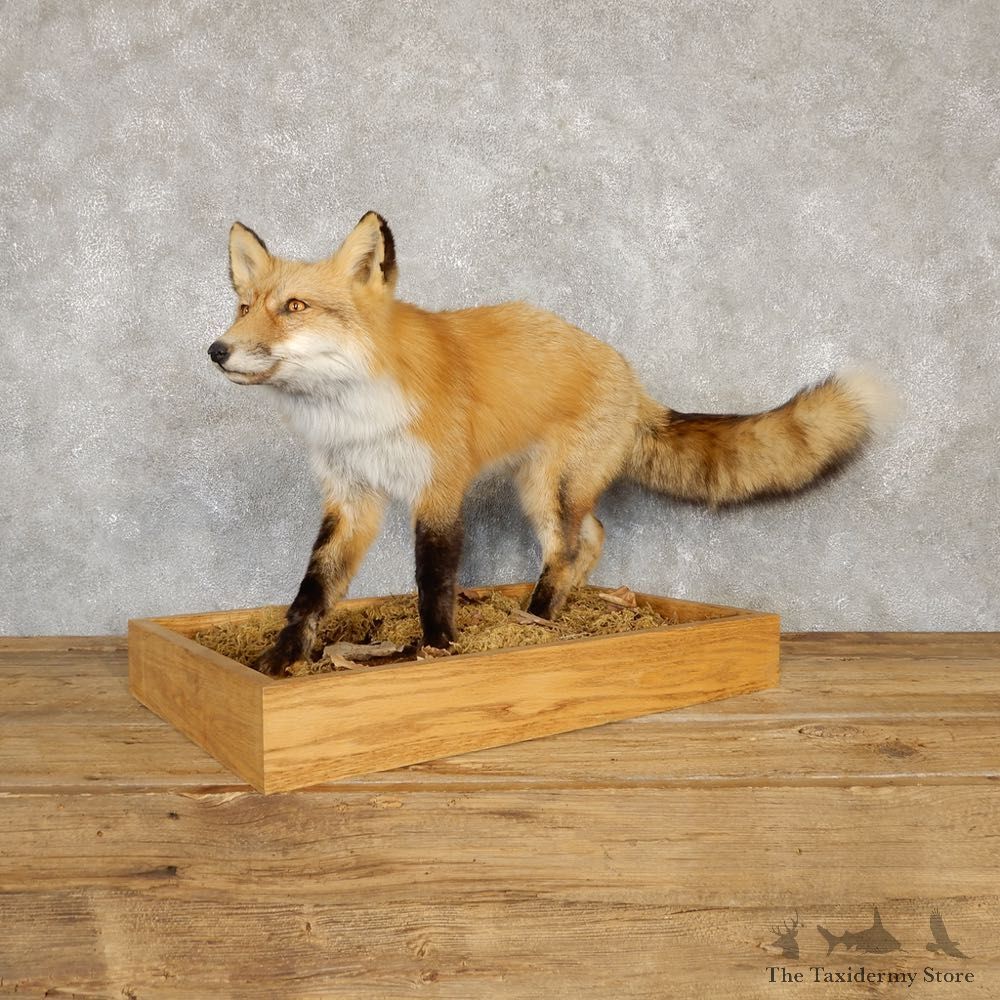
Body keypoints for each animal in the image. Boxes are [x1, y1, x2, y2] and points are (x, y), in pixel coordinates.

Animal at [209, 211, 895, 676]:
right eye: (244, 307)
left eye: (294, 307)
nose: (216, 350)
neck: (354, 412)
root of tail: (632, 380)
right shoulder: (351, 498)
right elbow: (313, 591)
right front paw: (278, 664)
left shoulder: (440, 490)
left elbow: (433, 581)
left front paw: (436, 651)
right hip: (543, 488)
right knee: (588, 540)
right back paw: (553, 616)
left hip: (547, 486)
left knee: (570, 546)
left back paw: (538, 622)